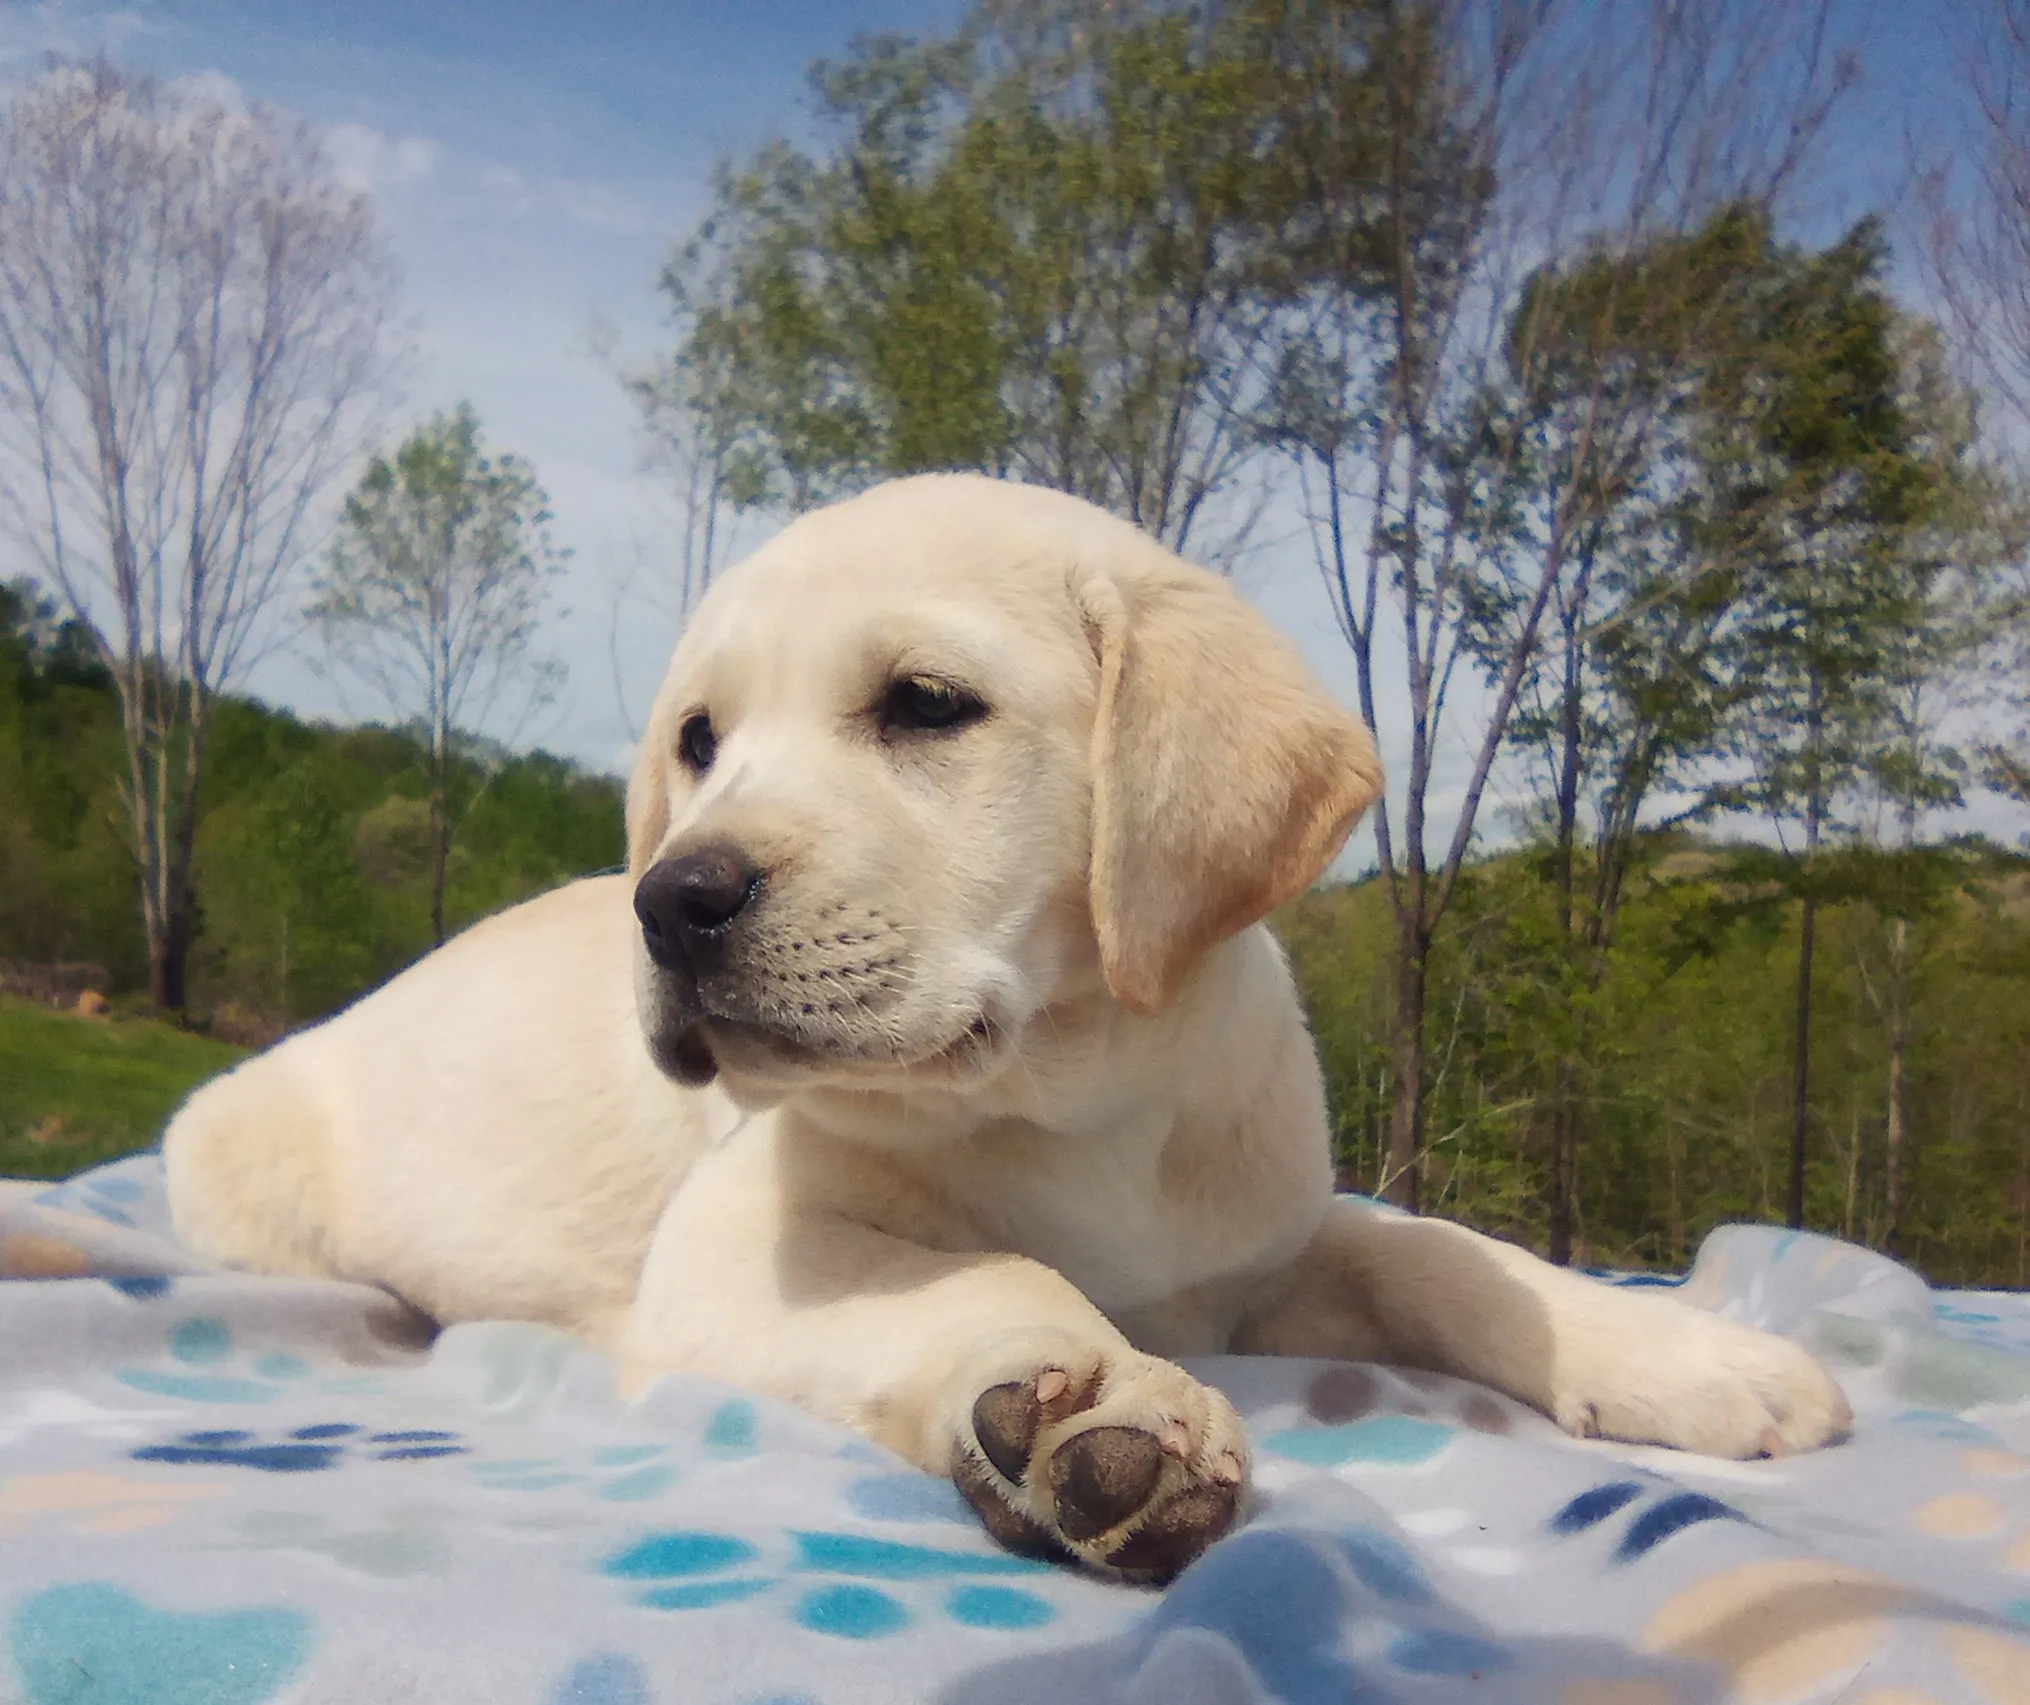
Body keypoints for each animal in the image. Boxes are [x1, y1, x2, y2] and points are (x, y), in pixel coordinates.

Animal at [170, 468, 1859, 1583]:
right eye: (698, 740)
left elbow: (1440, 1250)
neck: (1072, 1106)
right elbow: (990, 1268)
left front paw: (1688, 1350)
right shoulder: (732, 1251)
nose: (669, 899)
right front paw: (1099, 1408)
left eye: (925, 704)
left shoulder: (1257, 1252)